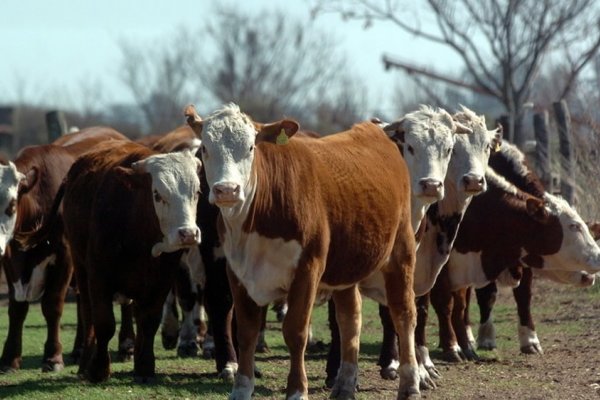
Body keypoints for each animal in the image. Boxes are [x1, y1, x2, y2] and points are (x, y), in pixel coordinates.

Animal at [0, 127, 126, 372]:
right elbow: (17, 308)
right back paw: (79, 349)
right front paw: (9, 359)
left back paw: (127, 347)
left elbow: (52, 305)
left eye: (11, 206)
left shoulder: (64, 256)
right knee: (83, 301)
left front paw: (53, 357)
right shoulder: (10, 260)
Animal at [185, 104, 420, 400]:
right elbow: (247, 332)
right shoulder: (237, 271)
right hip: (346, 267)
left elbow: (295, 331)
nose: (226, 190)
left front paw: (297, 390)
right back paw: (344, 385)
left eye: (250, 147)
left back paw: (410, 384)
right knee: (350, 319)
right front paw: (241, 388)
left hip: (401, 252)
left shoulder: (308, 269)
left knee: (404, 313)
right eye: (205, 147)